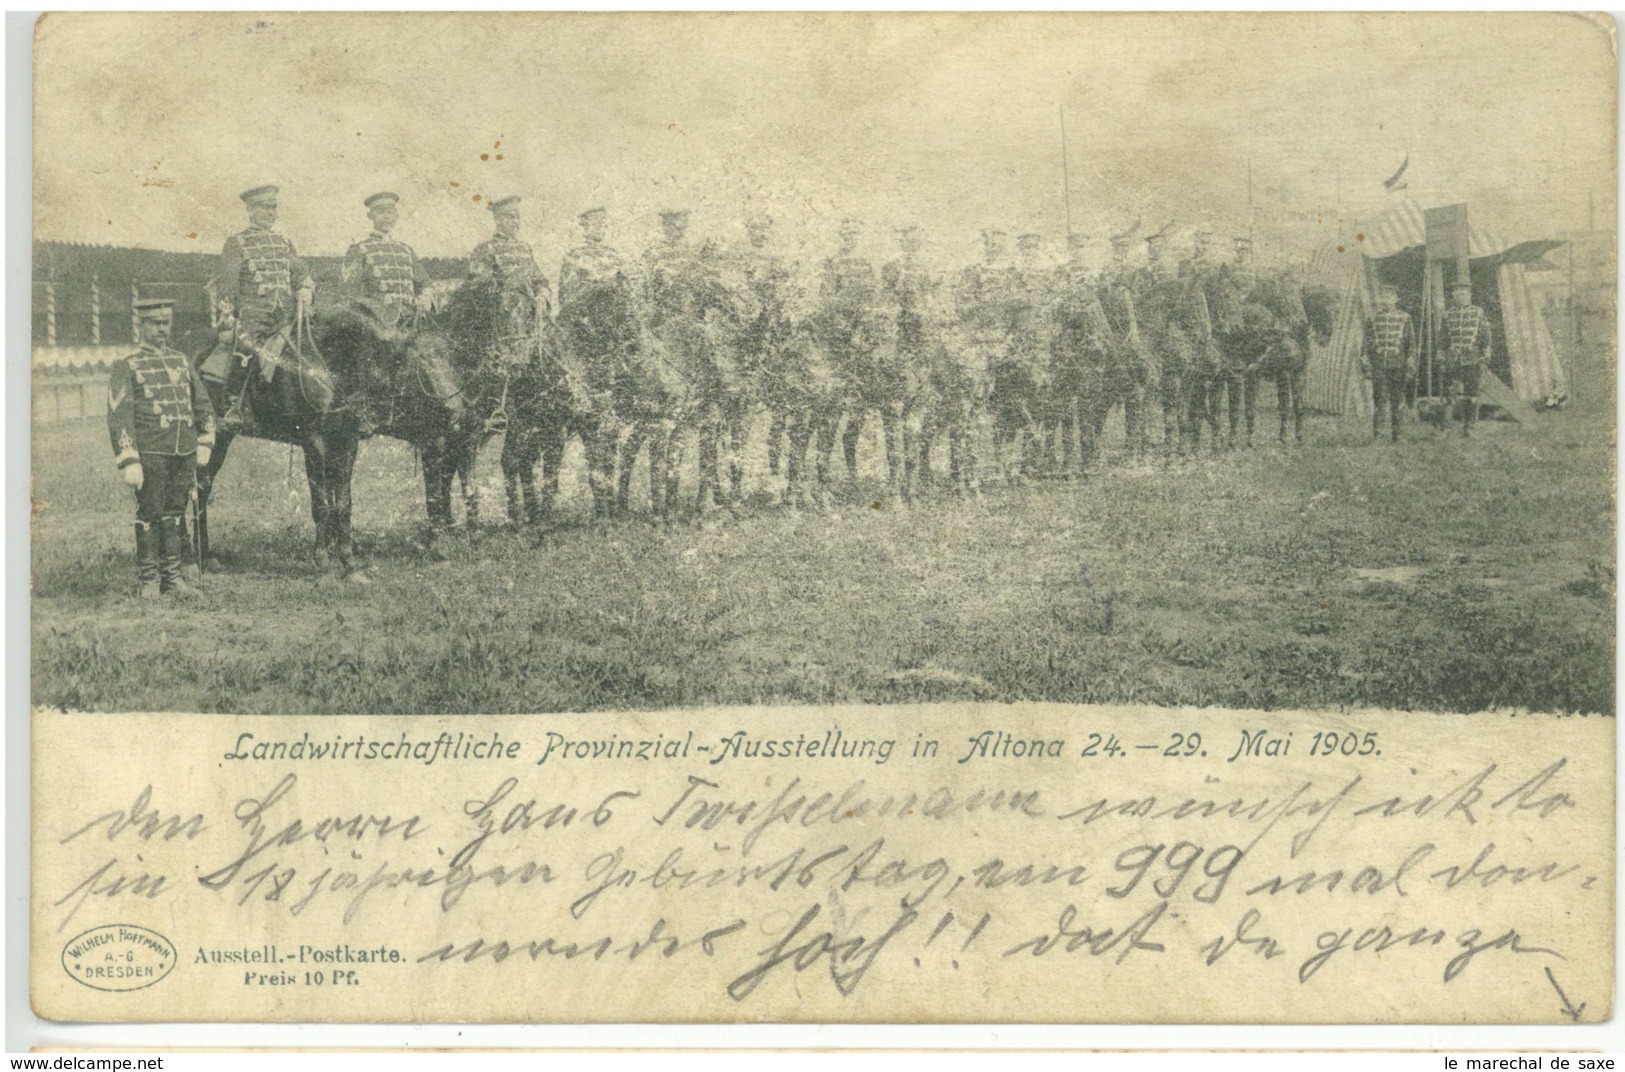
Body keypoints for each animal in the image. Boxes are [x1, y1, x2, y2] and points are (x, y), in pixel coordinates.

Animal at [190, 297, 474, 581]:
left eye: (444, 356)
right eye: (414, 365)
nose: (455, 409)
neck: (330, 364)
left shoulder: (346, 443)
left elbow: (343, 505)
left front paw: (349, 563)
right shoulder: (314, 443)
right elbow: (322, 505)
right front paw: (323, 561)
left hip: (219, 442)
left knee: (203, 488)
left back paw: (207, 555)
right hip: (218, 437)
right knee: (199, 489)